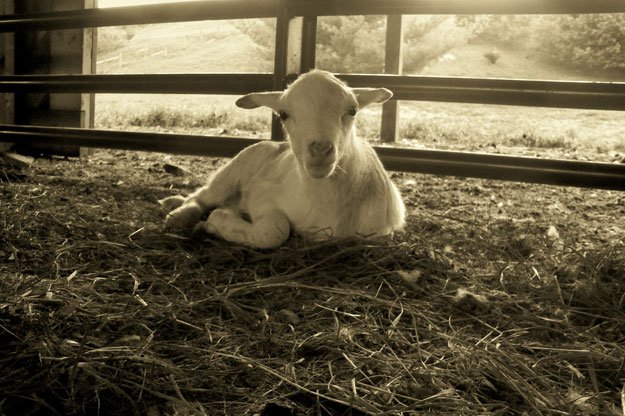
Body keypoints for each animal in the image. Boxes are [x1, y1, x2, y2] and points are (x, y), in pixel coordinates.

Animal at [160, 70, 404, 249]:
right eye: (284, 114)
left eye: (352, 110)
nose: (320, 149)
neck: (326, 202)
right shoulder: (262, 195)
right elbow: (274, 230)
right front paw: (217, 220)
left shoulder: (379, 230)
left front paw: (222, 217)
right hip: (234, 169)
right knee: (202, 196)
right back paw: (180, 214)